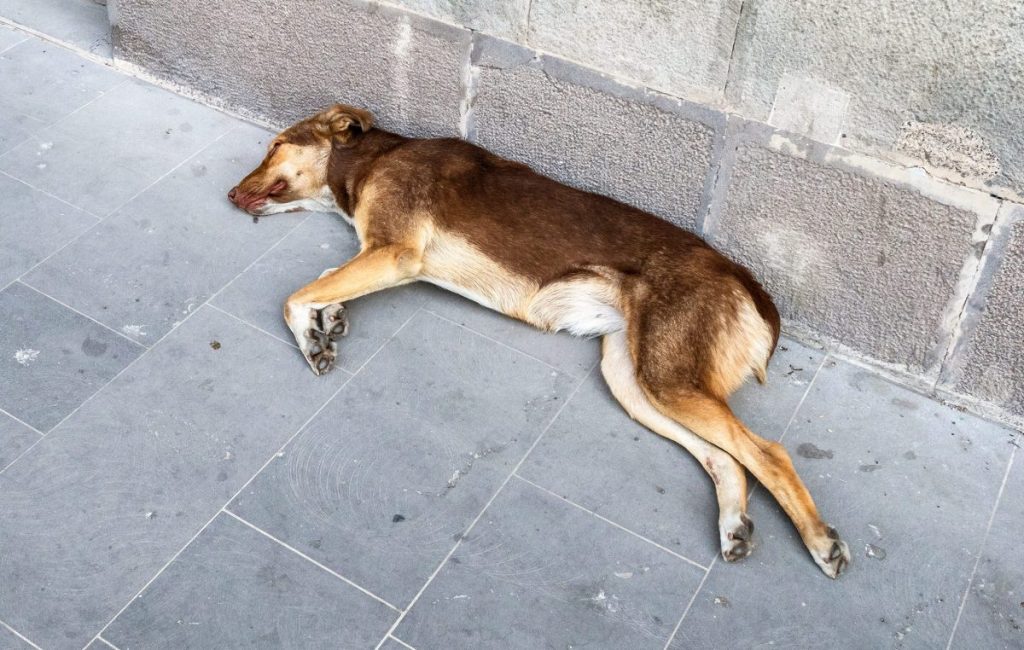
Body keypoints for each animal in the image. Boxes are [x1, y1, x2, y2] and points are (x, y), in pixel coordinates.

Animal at [228, 104, 851, 577]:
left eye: (275, 145)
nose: (231, 195)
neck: (372, 157)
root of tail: (743, 279)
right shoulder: (378, 259)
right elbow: (323, 285)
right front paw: (327, 321)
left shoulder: (395, 255)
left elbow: (293, 296)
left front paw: (311, 335)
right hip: (632, 381)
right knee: (727, 459)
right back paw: (733, 526)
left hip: (666, 379)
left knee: (767, 453)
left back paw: (820, 540)